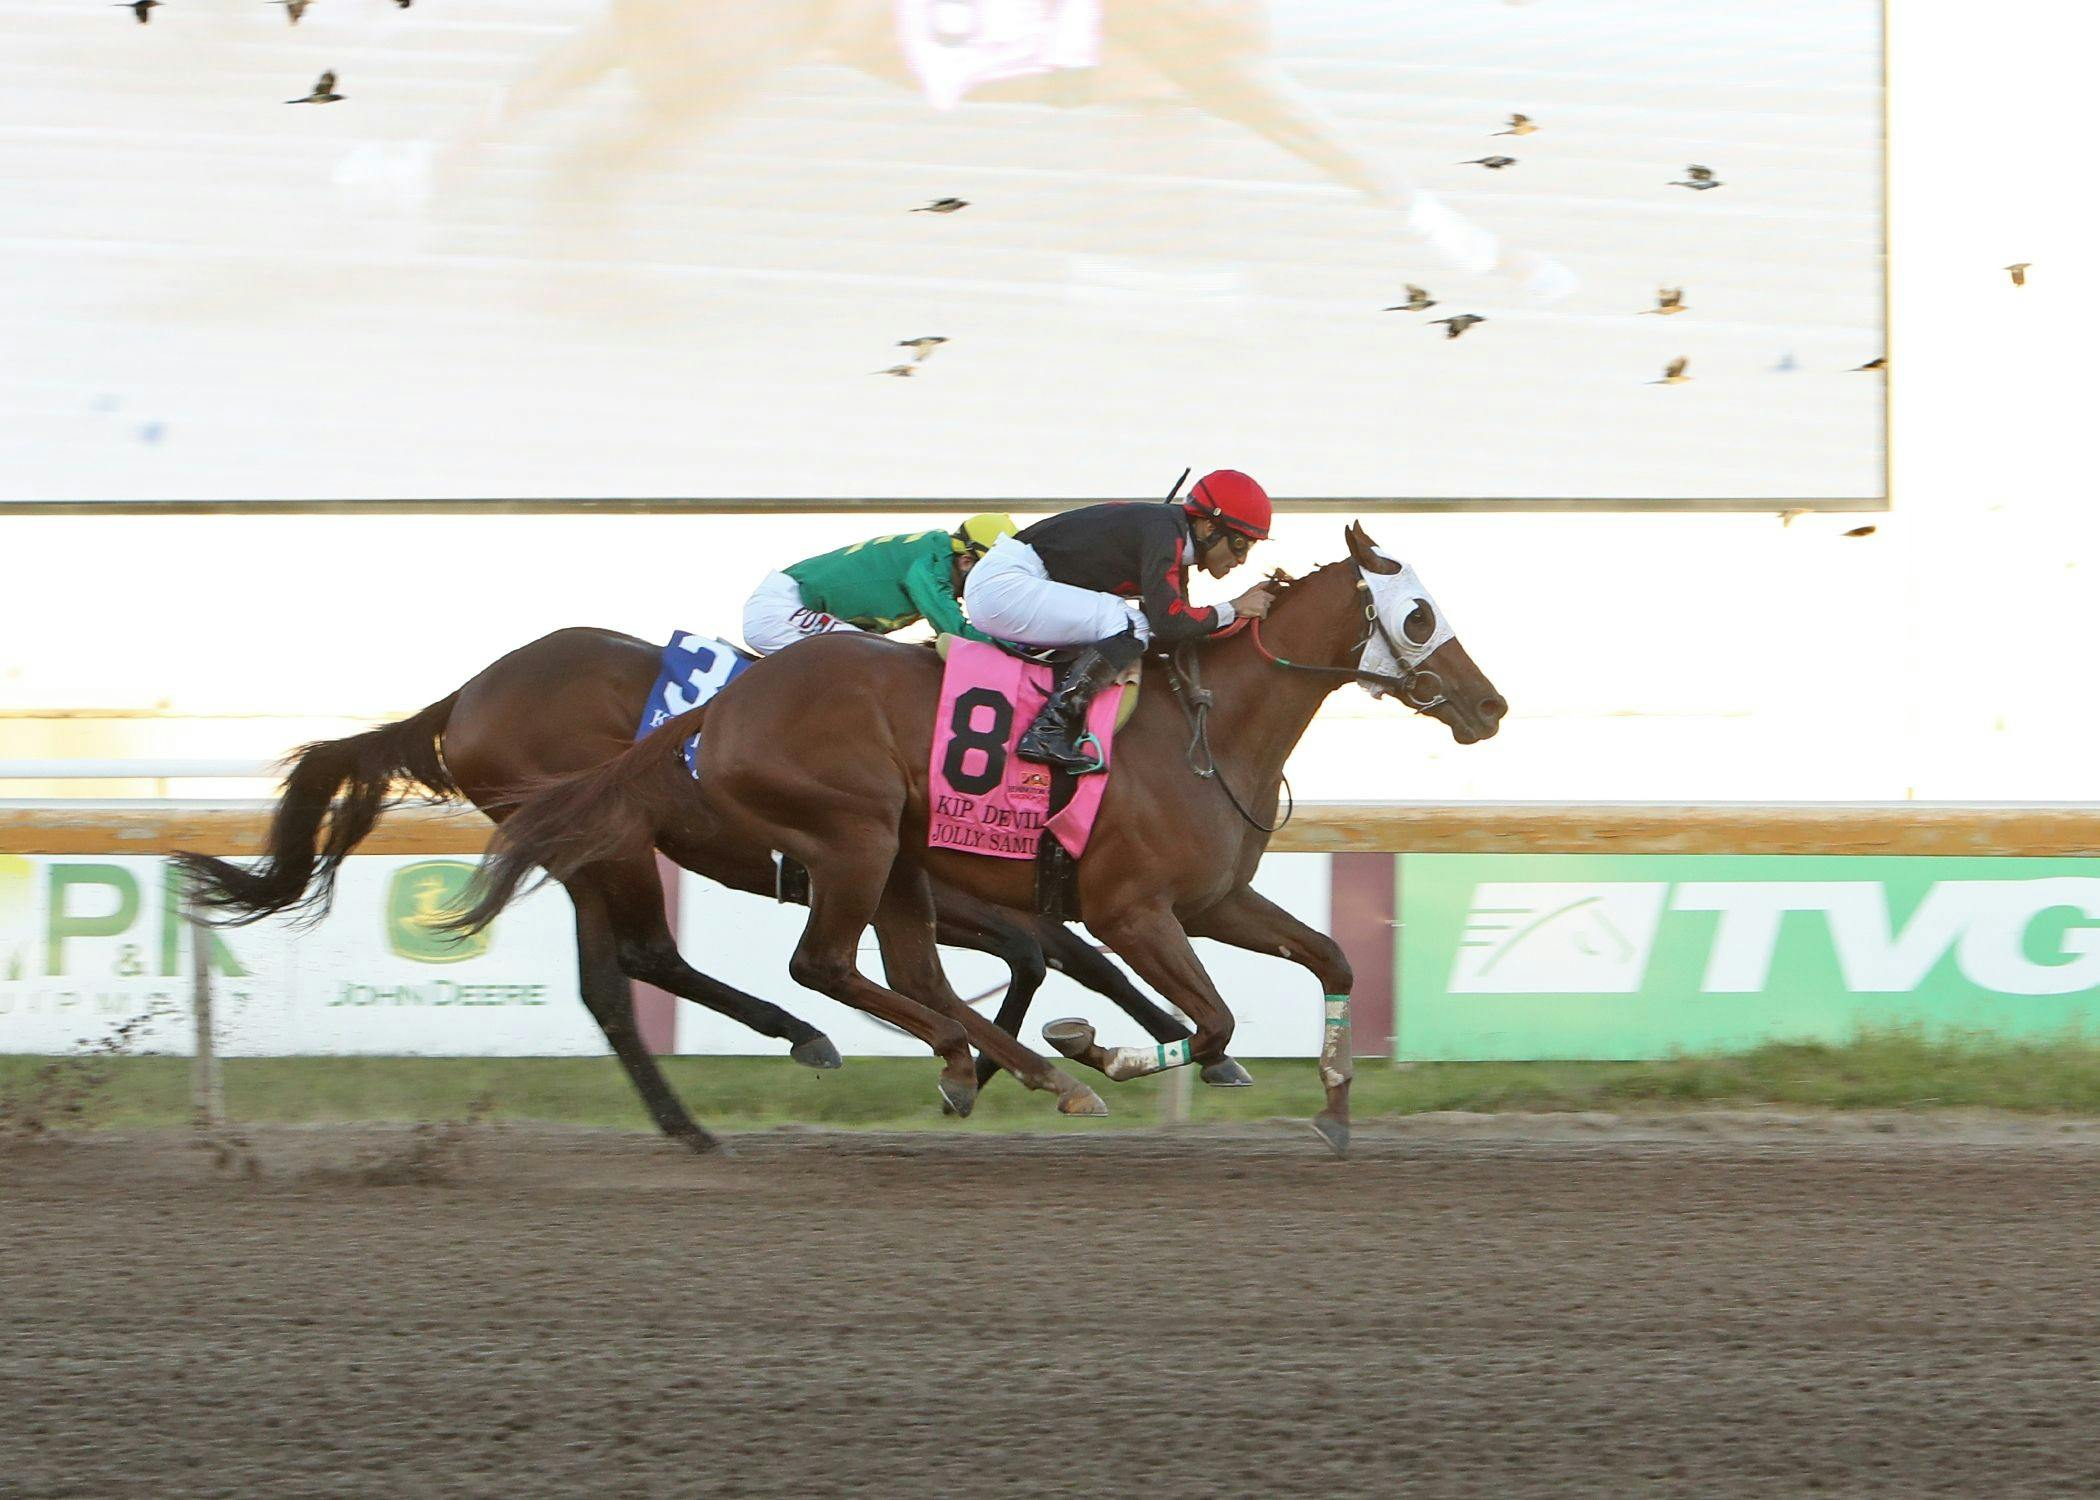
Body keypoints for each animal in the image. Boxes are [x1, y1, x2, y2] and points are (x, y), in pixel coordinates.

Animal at [180, 617, 1234, 1142]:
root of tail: (466, 696)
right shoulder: (936, 883)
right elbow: (1040, 954)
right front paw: (1008, 1064)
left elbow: (1064, 956)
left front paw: (1155, 1046)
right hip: (609, 844)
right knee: (641, 961)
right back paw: (791, 1045)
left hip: (589, 851)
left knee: (612, 984)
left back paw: (706, 1109)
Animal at [443, 525, 1503, 1159]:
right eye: (1418, 615)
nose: (1490, 706)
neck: (1204, 728)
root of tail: (725, 706)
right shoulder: (1130, 910)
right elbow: (1210, 1019)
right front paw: (1102, 1050)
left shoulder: (1213, 900)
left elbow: (1331, 959)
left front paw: (1333, 1107)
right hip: (846, 837)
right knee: (811, 965)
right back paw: (977, 1061)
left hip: (889, 860)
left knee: (896, 973)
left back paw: (991, 1067)